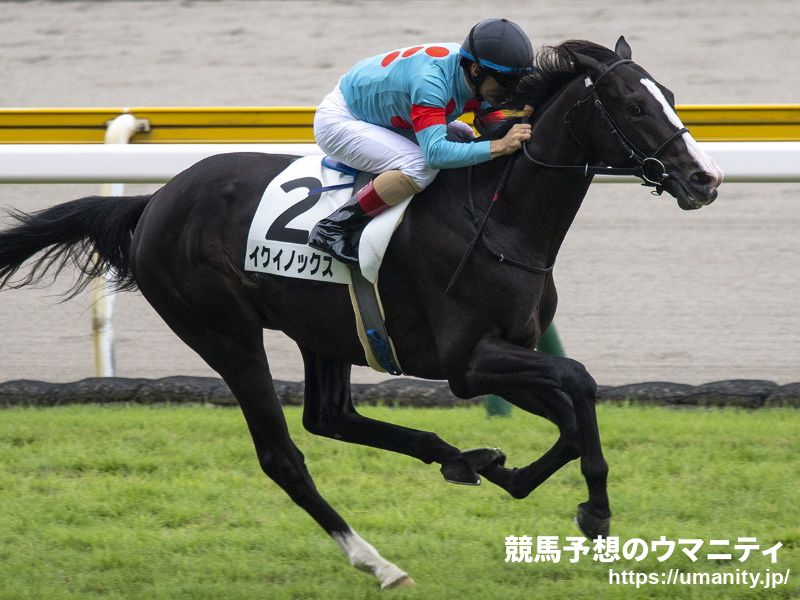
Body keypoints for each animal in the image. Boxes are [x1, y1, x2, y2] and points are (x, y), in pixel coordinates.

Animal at [0, 37, 722, 588]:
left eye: (671, 96)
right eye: (634, 105)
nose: (706, 179)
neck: (500, 219)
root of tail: (151, 203)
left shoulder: (508, 356)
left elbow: (571, 419)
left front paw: (512, 475)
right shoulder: (469, 362)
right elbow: (580, 383)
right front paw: (595, 510)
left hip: (322, 330)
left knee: (330, 417)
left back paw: (460, 457)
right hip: (226, 333)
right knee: (283, 454)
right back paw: (378, 562)